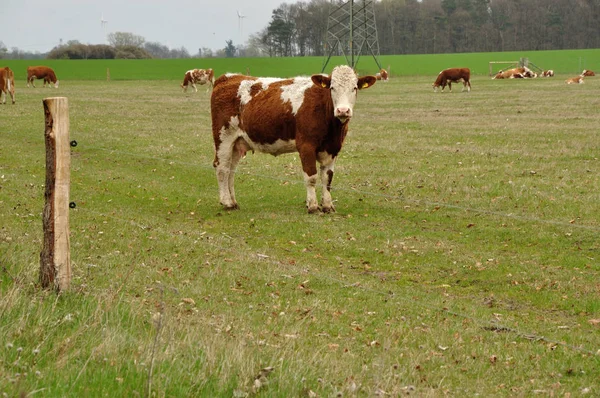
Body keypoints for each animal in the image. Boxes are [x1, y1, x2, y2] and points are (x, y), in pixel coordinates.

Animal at [209, 66, 376, 215]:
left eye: (355, 88)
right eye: (332, 88)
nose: (343, 110)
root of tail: (228, 77)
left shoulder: (333, 148)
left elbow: (327, 178)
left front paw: (328, 206)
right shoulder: (306, 146)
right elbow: (311, 177)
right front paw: (313, 206)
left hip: (237, 143)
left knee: (231, 170)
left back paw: (233, 202)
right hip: (223, 137)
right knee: (222, 167)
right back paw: (227, 202)